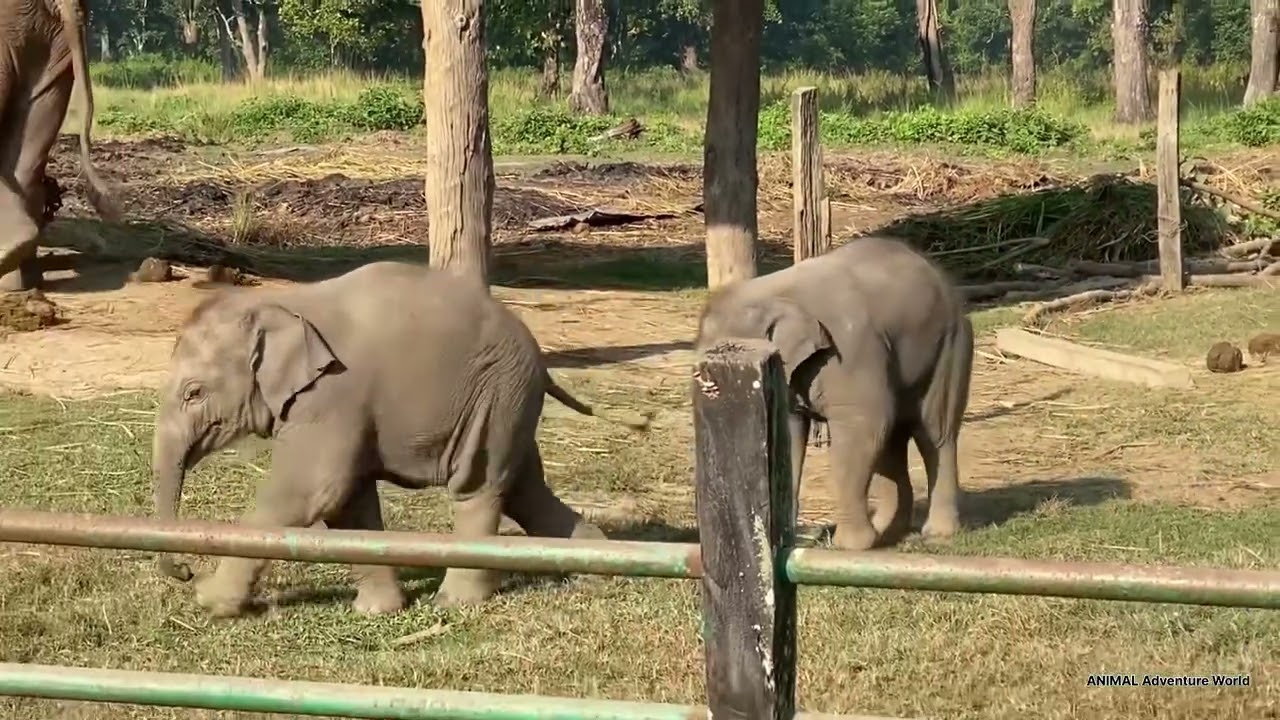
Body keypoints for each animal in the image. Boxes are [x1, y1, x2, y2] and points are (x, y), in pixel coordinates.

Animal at [150, 261, 651, 618]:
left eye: (194, 393)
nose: (186, 572)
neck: (277, 301)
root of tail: (541, 361)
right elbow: (347, 502)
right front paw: (377, 611)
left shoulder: (334, 395)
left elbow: (312, 490)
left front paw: (210, 602)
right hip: (511, 404)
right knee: (525, 490)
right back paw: (596, 572)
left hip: (494, 396)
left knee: (479, 486)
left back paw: (456, 601)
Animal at [693, 235, 974, 551]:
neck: (773, 292)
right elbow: (788, 436)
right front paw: (788, 542)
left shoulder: (850, 353)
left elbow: (863, 426)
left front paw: (849, 546)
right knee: (893, 437)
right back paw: (887, 530)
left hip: (951, 344)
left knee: (934, 432)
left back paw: (936, 534)